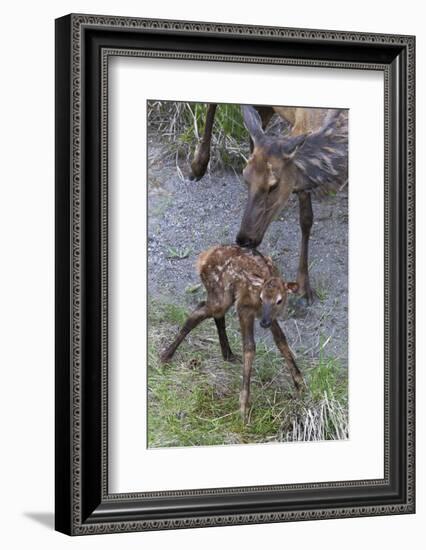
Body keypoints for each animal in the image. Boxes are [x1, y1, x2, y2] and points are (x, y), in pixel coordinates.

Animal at [160, 246, 302, 422]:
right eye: (262, 297)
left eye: (279, 300)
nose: (263, 323)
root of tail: (203, 257)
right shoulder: (244, 307)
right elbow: (249, 347)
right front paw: (243, 407)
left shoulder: (270, 317)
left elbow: (281, 340)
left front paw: (301, 385)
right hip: (220, 294)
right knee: (199, 312)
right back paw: (166, 355)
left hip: (223, 297)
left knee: (209, 310)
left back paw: (227, 354)